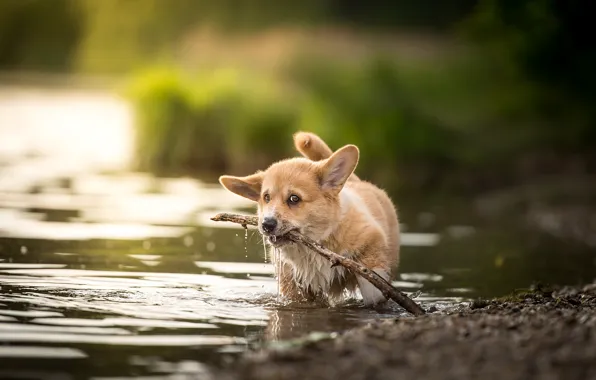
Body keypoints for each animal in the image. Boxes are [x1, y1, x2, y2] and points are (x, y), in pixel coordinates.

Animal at [219, 132, 400, 308]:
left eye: (294, 199)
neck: (314, 246)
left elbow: (372, 285)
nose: (266, 225)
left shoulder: (372, 240)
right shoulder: (293, 281)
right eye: (266, 197)